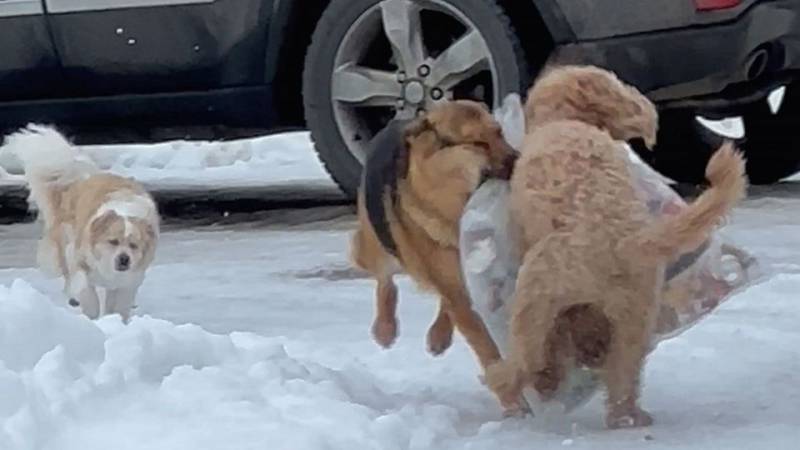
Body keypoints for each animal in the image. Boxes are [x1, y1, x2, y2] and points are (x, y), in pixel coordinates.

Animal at [352, 100, 520, 378]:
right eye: (478, 143)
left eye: (499, 133)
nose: (522, 158)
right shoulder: (457, 292)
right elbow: (484, 344)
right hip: (377, 245)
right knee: (385, 279)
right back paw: (385, 327)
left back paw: (438, 334)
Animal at [482, 67, 752, 428]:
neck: (568, 119)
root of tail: (625, 244)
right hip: (634, 316)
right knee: (624, 371)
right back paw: (627, 416)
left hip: (537, 291)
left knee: (530, 353)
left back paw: (505, 378)